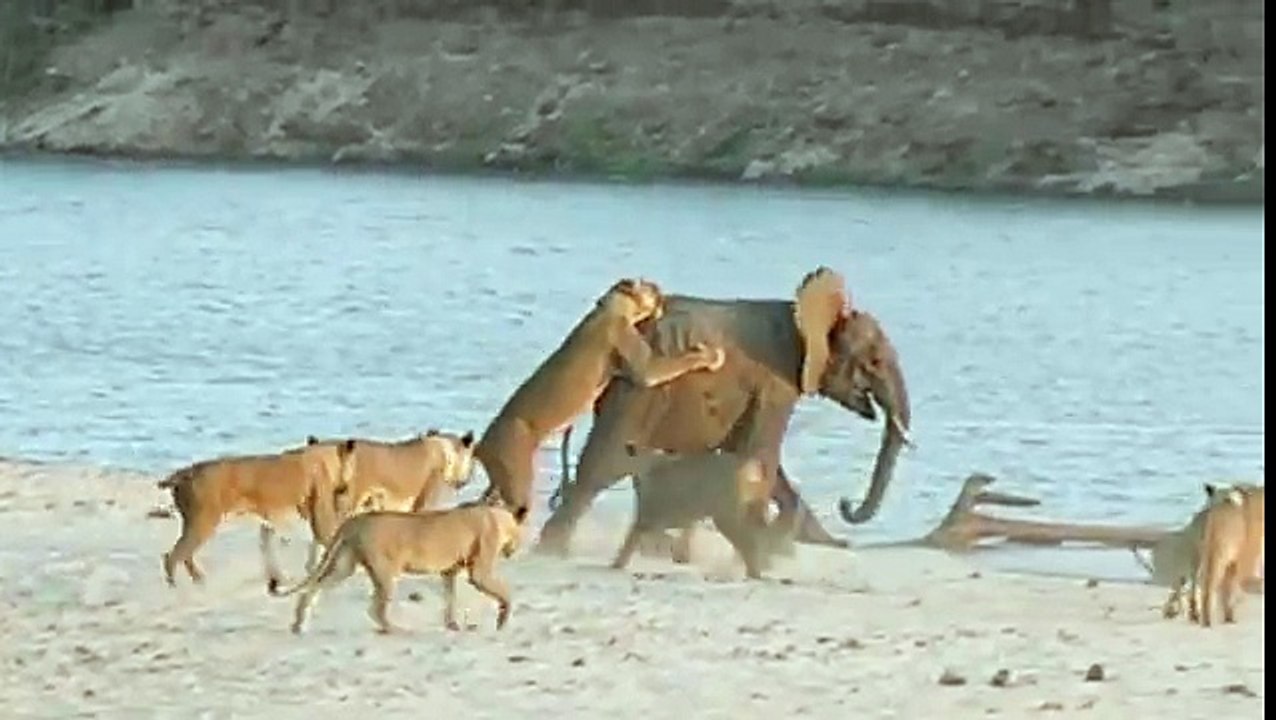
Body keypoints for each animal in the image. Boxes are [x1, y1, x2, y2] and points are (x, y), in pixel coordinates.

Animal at [158, 438, 356, 591]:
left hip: (196, 526)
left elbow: (271, 555)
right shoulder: (321, 520)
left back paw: (198, 581)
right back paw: (176, 587)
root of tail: (186, 472)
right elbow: (332, 543)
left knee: (184, 556)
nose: (346, 489)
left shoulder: (270, 523)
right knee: (172, 557)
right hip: (203, 524)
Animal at [272, 498, 528, 635]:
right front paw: (503, 619)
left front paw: (452, 624)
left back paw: (298, 624)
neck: (497, 516)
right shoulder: (479, 573)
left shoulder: (449, 572)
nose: (512, 550)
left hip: (345, 565)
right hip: (385, 572)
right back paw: (396, 630)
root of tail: (355, 520)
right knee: (375, 609)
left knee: (312, 588)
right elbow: (505, 592)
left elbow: (450, 597)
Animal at [474, 277, 725, 520]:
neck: (610, 307)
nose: (658, 288)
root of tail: (482, 444)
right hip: (515, 477)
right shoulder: (645, 366)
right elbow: (680, 362)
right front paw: (711, 356)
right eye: (647, 284)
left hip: (499, 483)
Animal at [535, 266, 912, 555]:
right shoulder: (775, 384)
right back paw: (553, 551)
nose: (845, 504)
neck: (805, 316)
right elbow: (760, 454)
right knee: (604, 465)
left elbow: (761, 462)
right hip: (639, 386)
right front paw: (769, 543)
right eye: (874, 361)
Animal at [609, 443, 800, 580]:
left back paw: (754, 573)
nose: (629, 446)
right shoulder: (657, 518)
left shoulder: (651, 517)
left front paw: (616, 565)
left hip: (724, 516)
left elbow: (639, 540)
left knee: (750, 542)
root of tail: (740, 464)